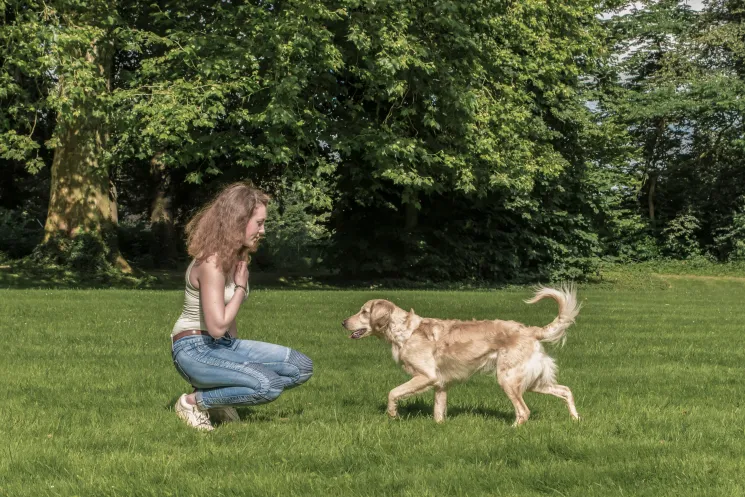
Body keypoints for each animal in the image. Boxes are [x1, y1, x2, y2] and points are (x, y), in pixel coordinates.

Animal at [342, 284, 580, 424]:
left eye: (364, 312)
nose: (343, 322)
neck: (406, 332)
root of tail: (530, 330)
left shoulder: (426, 376)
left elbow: (393, 392)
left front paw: (393, 414)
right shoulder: (440, 384)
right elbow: (438, 412)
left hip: (508, 379)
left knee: (524, 411)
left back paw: (512, 429)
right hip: (531, 381)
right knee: (566, 390)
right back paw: (575, 419)